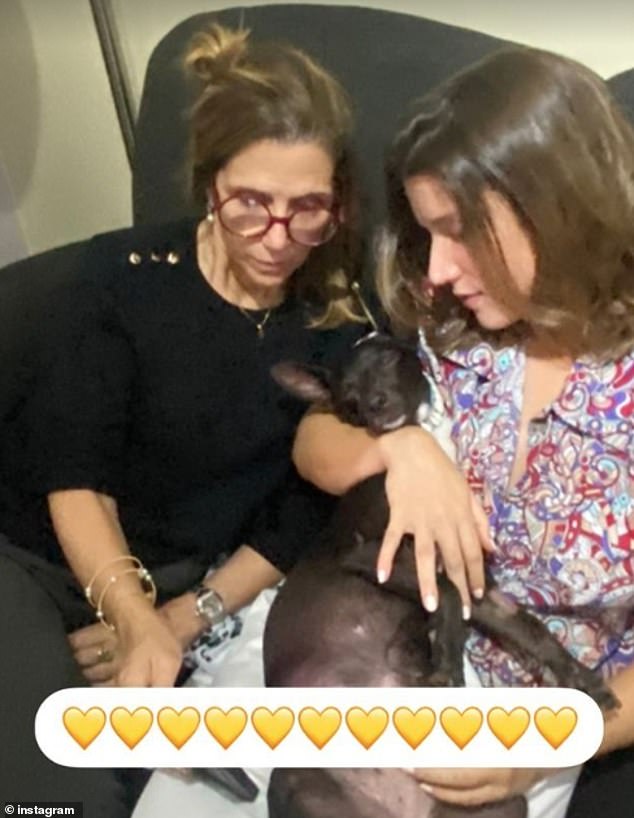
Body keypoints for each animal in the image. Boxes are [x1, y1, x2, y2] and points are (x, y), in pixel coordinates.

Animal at [264, 332, 616, 816]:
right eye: (346, 397)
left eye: (389, 357)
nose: (373, 404)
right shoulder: (370, 554)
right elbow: (445, 591)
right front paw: (446, 660)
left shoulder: (478, 586)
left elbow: (533, 631)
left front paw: (584, 680)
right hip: (293, 781)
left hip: (502, 804)